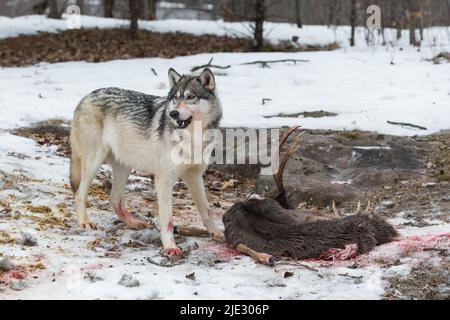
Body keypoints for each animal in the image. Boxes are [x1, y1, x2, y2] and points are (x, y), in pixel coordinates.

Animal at [70, 67, 223, 255]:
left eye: (191, 97)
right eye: (175, 98)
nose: (173, 113)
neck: (193, 137)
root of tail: (86, 96)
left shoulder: (194, 176)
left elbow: (207, 211)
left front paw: (218, 234)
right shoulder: (164, 180)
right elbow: (168, 220)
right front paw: (170, 247)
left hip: (124, 168)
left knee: (114, 199)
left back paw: (133, 223)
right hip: (94, 162)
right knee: (79, 193)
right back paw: (84, 222)